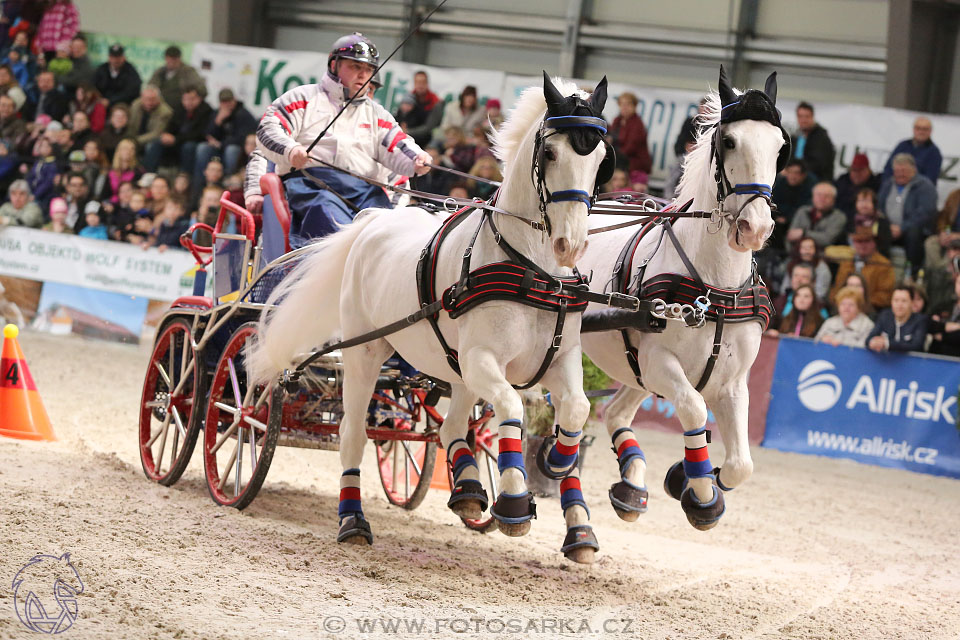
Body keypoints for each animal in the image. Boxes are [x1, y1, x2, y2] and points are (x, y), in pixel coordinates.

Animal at [244, 75, 612, 564]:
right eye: (550, 153)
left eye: (601, 159)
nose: (569, 245)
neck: (531, 269)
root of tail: (372, 219)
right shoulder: (482, 359)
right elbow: (512, 409)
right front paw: (515, 503)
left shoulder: (558, 359)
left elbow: (576, 408)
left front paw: (555, 462)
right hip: (366, 352)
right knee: (353, 434)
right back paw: (352, 520)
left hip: (453, 366)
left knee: (453, 426)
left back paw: (469, 490)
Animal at [564, 67, 788, 528]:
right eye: (729, 141)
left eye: (781, 147)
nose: (755, 228)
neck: (715, 290)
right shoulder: (661, 363)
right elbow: (694, 410)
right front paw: (701, 494)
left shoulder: (732, 382)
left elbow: (741, 464)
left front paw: (690, 479)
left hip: (638, 372)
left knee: (617, 411)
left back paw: (631, 487)